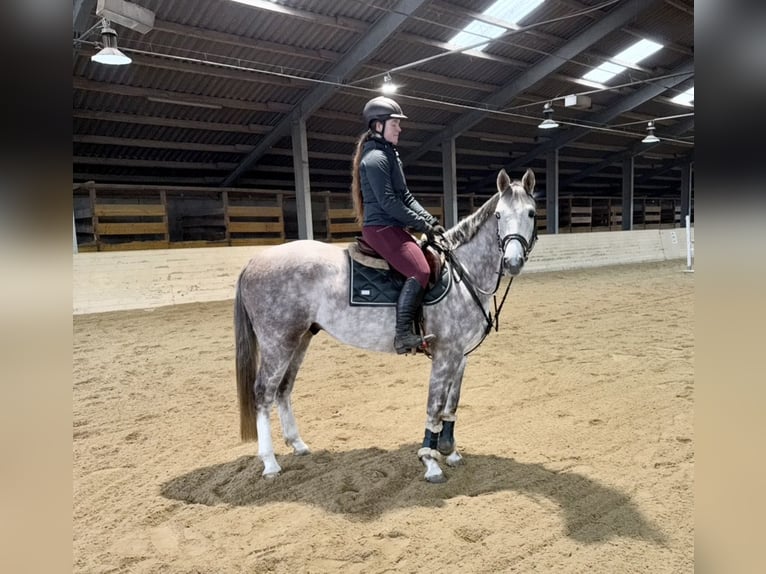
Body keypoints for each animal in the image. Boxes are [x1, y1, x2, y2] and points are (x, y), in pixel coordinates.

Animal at [234, 168, 538, 483]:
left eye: (531, 213)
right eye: (499, 215)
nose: (512, 261)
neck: (462, 274)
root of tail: (254, 260)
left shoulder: (461, 356)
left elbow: (451, 404)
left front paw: (450, 451)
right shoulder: (445, 354)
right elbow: (434, 406)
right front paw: (430, 461)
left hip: (300, 339)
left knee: (284, 389)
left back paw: (298, 444)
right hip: (277, 342)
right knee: (263, 393)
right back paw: (270, 463)